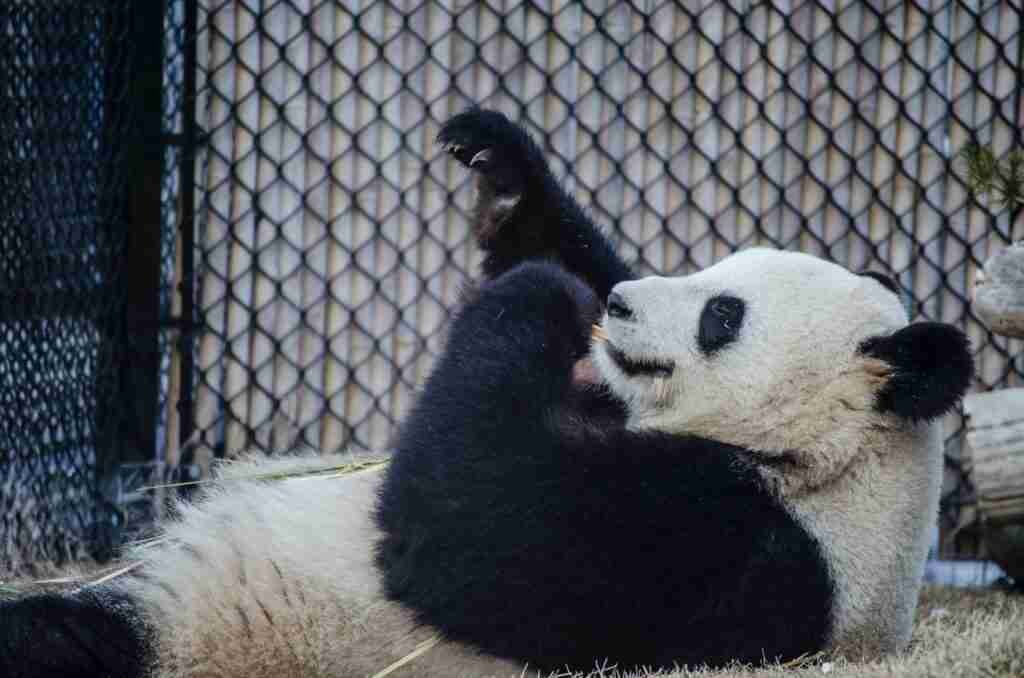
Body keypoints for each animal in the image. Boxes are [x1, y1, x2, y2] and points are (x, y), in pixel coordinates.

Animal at [0, 109, 970, 675]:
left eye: (721, 316)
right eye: (713, 271)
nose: (622, 305)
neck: (837, 460)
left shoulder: (737, 547)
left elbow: (473, 527)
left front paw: (542, 294)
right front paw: (505, 171)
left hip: (210, 636)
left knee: (62, 650)